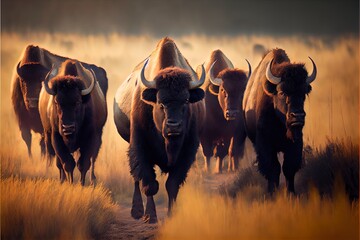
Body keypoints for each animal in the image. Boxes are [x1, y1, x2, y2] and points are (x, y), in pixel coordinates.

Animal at [114, 37, 207, 223]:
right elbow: (149, 184)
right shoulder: (140, 147)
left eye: (186, 101)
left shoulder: (187, 152)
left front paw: (172, 215)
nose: (173, 126)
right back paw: (137, 212)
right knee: (136, 178)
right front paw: (150, 216)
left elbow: (172, 185)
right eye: (160, 102)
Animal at [243, 48, 316, 193]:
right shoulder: (265, 144)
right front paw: (272, 193)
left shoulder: (295, 142)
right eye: (282, 92)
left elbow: (289, 167)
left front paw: (291, 194)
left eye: (303, 93)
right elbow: (273, 168)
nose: (297, 116)